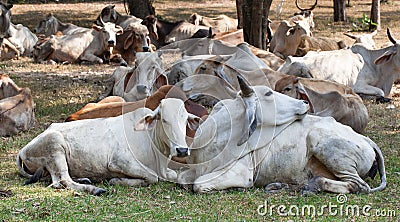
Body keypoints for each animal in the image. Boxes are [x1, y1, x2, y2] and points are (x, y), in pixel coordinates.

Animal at [179, 76, 388, 194]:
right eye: (269, 94)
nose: (304, 103)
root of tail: (365, 139)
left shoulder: (241, 173)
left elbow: (198, 185)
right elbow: (183, 179)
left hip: (326, 147)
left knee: (359, 186)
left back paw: (313, 186)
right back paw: (287, 186)